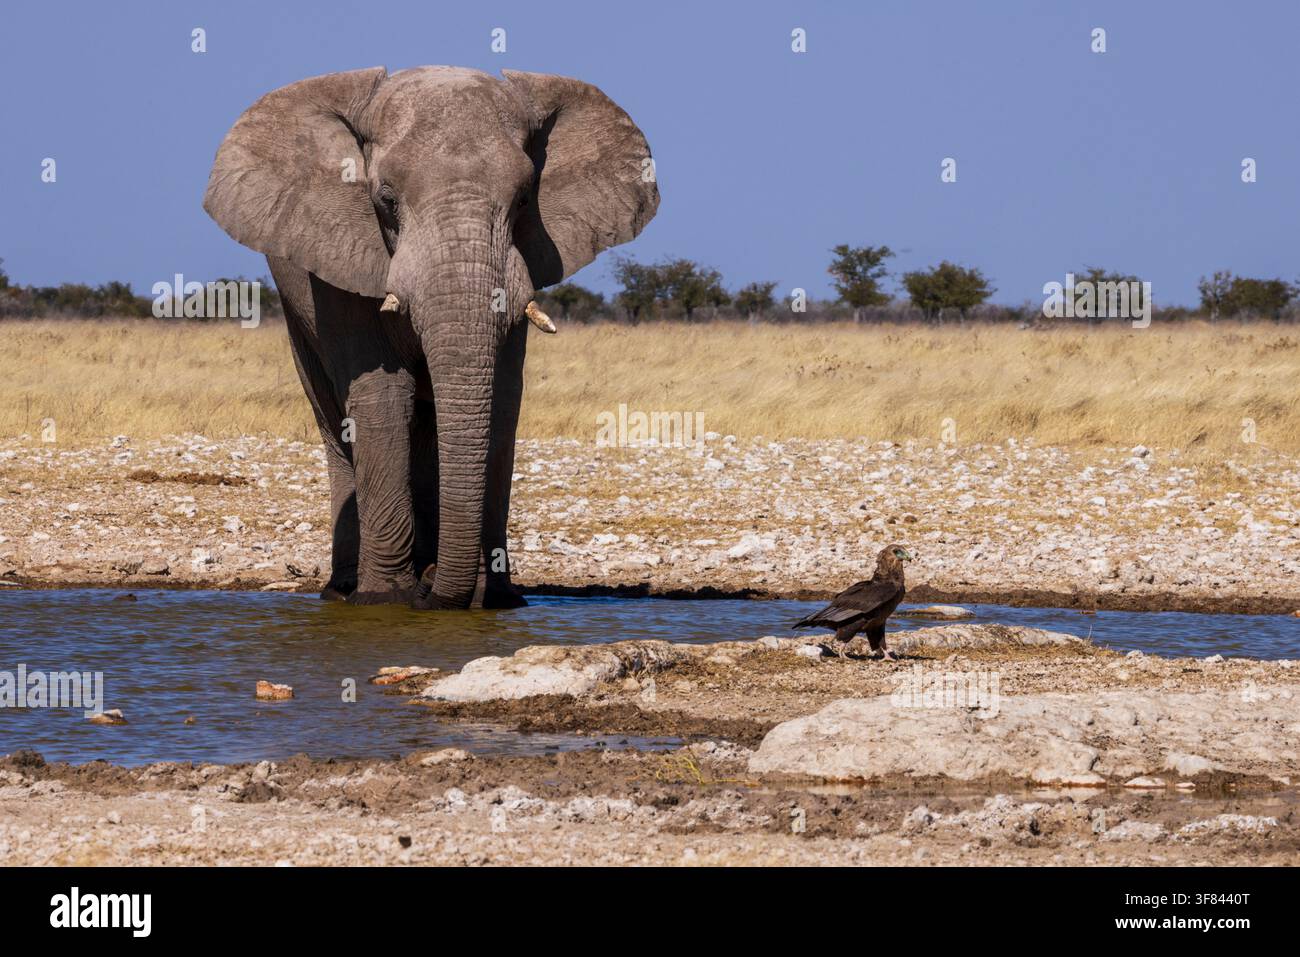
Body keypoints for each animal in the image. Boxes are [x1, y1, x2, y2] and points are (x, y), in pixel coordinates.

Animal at [203, 66, 659, 608]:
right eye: (386, 201)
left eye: (525, 199)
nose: (432, 594)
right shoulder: (342, 260)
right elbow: (381, 396)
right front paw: (385, 600)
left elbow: (501, 399)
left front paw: (491, 600)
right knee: (335, 419)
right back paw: (346, 589)